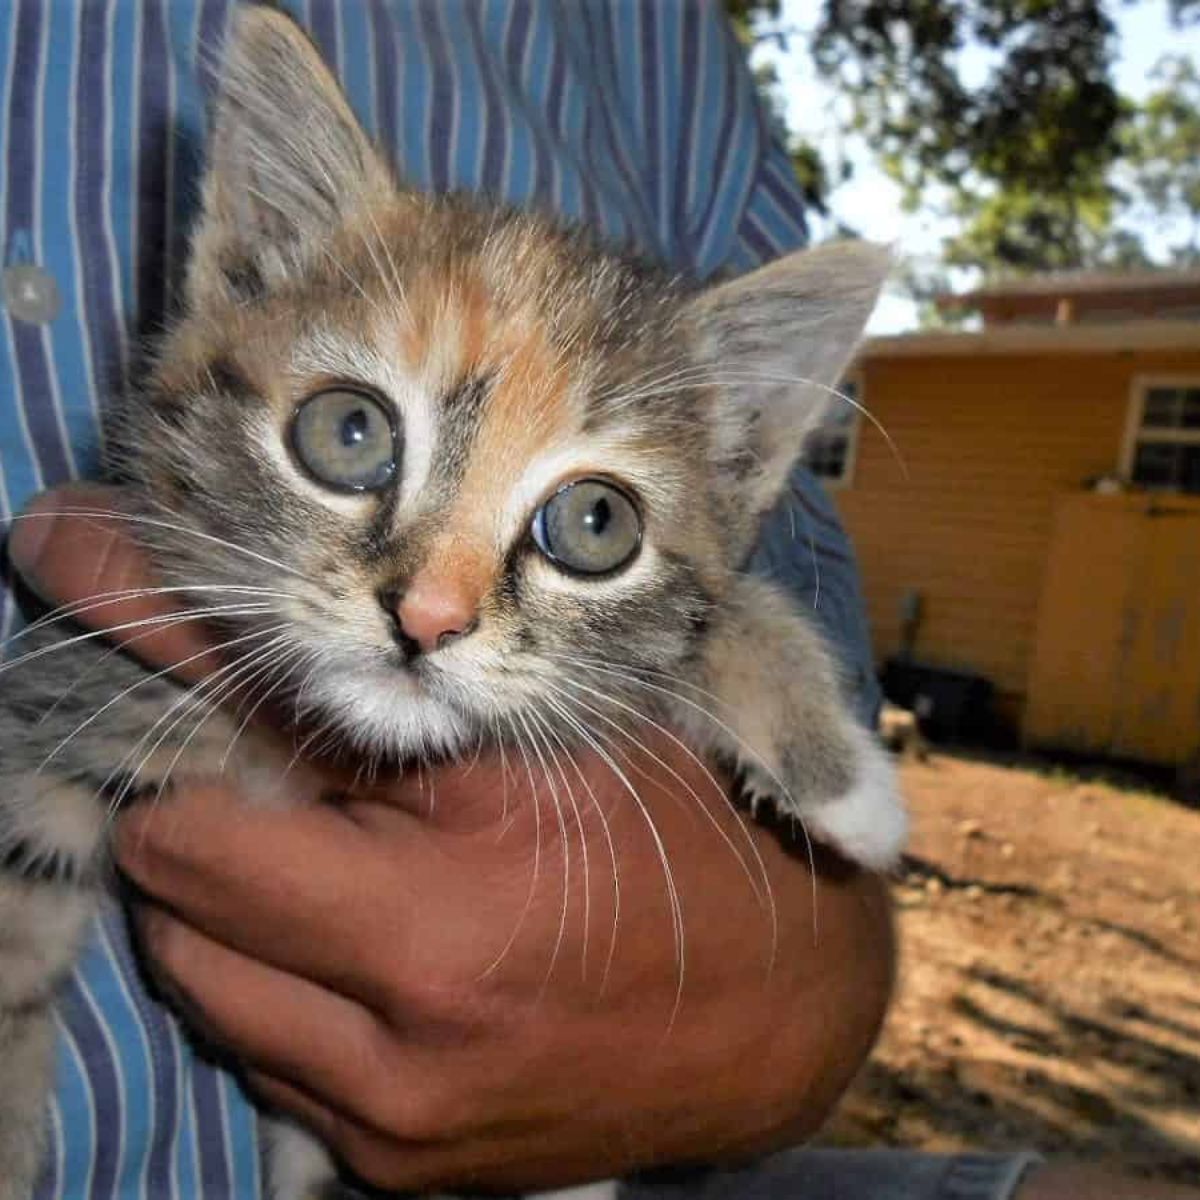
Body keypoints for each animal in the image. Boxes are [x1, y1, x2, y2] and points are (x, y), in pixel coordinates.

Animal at [0, 9, 902, 1200]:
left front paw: (837, 774)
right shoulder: (65, 690)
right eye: (348, 433)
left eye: (596, 524)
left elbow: (716, 611)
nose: (426, 618)